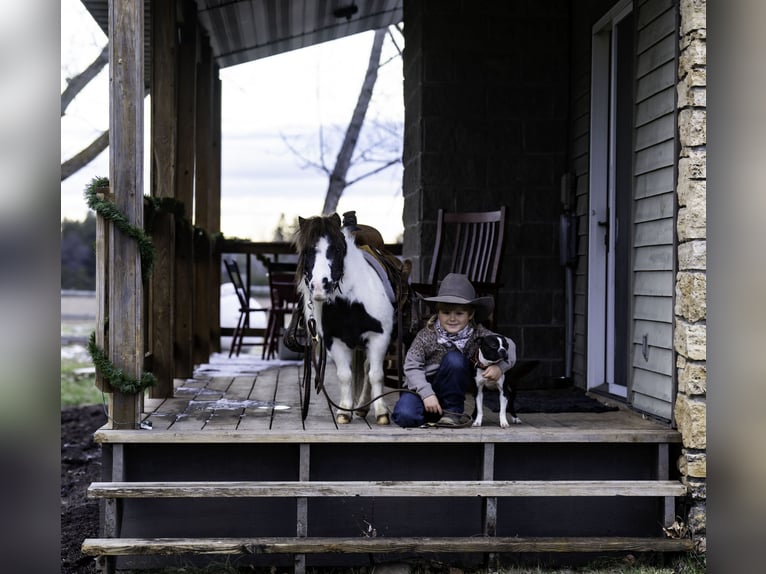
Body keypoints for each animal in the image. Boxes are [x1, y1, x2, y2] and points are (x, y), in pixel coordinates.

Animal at [296, 214, 400, 426]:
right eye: (307, 250)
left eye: (337, 249)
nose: (319, 286)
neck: (351, 303)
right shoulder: (334, 341)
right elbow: (345, 376)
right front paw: (344, 411)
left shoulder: (379, 338)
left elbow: (376, 375)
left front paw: (381, 412)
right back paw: (360, 408)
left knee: (368, 370)